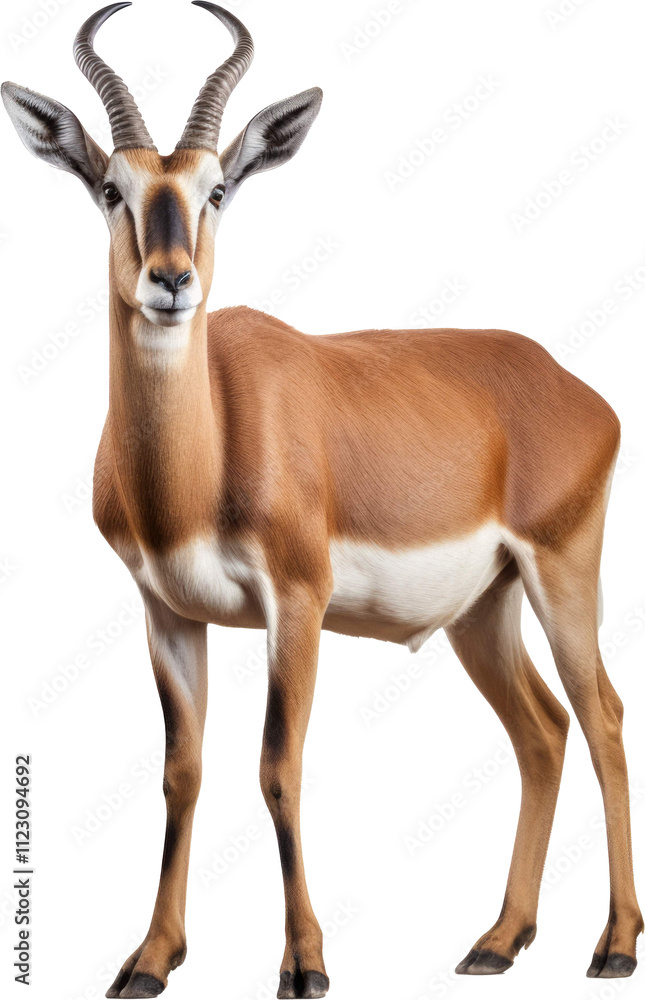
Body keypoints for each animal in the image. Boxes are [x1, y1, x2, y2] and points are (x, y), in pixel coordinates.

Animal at [3, 2, 642, 996]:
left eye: (218, 188)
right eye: (111, 188)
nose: (171, 279)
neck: (204, 454)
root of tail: (571, 385)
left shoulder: (295, 603)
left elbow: (278, 768)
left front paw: (304, 966)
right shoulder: (165, 613)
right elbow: (181, 772)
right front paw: (149, 959)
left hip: (561, 576)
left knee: (602, 716)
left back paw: (612, 946)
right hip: (482, 610)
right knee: (540, 731)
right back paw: (497, 941)